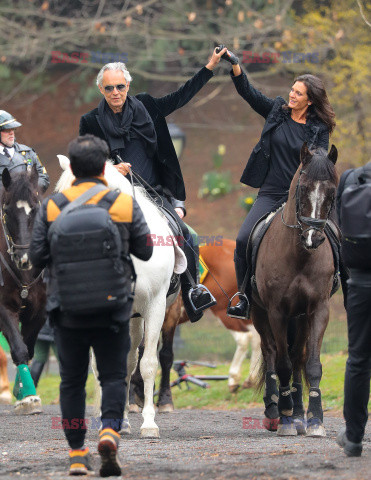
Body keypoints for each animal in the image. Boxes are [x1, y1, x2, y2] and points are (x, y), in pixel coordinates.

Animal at [254, 142, 338, 436]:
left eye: (332, 192)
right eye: (303, 188)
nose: (313, 238)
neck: (300, 255)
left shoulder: (319, 310)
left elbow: (311, 364)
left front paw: (315, 418)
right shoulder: (276, 312)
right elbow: (282, 364)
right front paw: (286, 417)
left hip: (300, 318)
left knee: (298, 356)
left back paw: (300, 412)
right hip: (259, 313)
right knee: (271, 352)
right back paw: (275, 410)